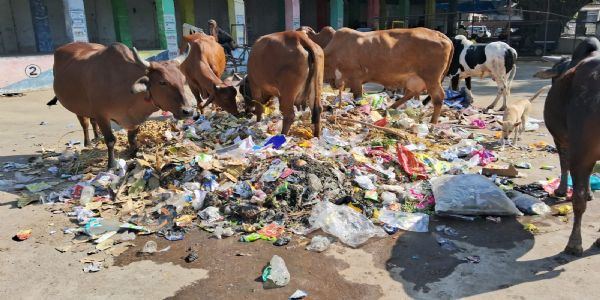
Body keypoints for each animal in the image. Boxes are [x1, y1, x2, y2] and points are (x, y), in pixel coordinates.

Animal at [50, 42, 195, 169]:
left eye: (183, 79)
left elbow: (132, 138)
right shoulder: (102, 115)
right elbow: (110, 140)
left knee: (92, 121)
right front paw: (111, 164)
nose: (188, 111)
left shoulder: (135, 119)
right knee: (85, 123)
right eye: (162, 82)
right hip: (79, 108)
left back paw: (97, 138)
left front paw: (133, 154)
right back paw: (88, 143)